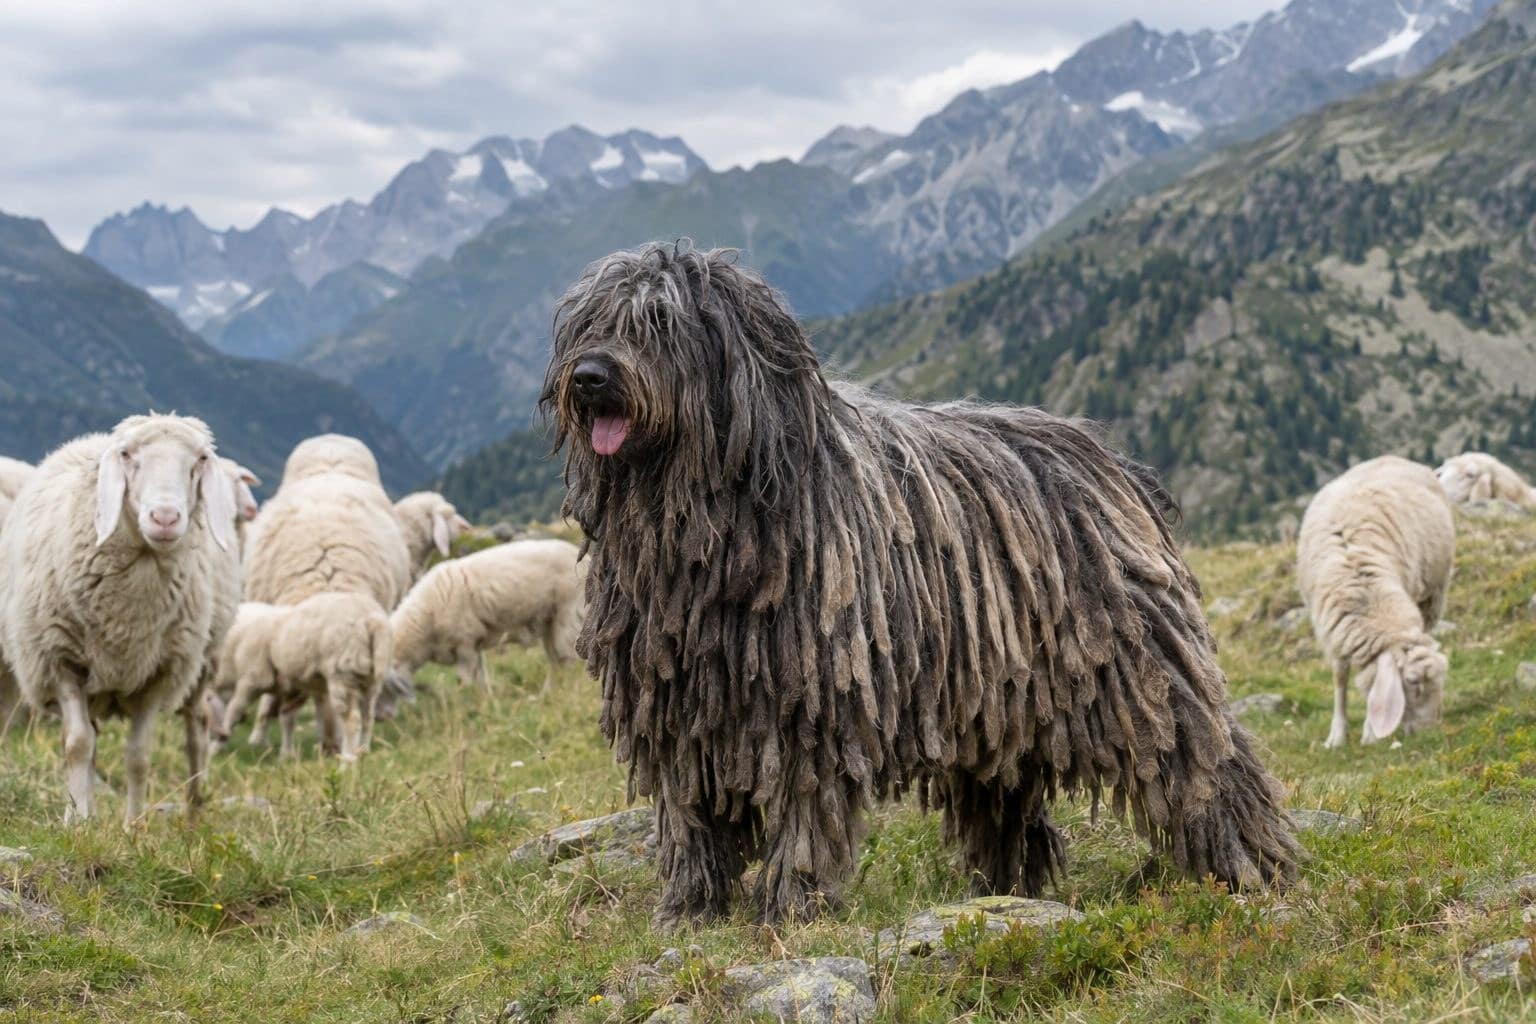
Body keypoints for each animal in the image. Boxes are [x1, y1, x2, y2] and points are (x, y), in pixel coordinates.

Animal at [0, 414, 234, 823]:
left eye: (201, 459)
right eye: (126, 455)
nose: (165, 518)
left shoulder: (159, 673)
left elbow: (139, 756)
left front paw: (133, 827)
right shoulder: (61, 660)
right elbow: (78, 744)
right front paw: (79, 823)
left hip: (196, 668)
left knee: (194, 729)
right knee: (84, 741)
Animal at [215, 593, 392, 762]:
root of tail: (373, 620)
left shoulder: (252, 678)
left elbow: (233, 712)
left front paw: (216, 747)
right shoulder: (292, 688)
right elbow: (287, 719)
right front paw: (286, 755)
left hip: (343, 672)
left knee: (352, 721)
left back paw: (347, 762)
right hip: (369, 680)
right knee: (368, 718)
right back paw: (363, 752)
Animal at [391, 539, 584, 695]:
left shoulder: (465, 643)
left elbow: (465, 678)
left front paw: (466, 699)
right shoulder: (475, 644)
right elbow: (480, 675)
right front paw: (485, 697)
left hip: (568, 615)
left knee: (568, 659)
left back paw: (569, 692)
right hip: (550, 623)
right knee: (555, 660)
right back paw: (546, 694)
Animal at [1297, 455, 1455, 748]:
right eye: (1413, 682)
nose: (1430, 733)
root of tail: (1393, 457)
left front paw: (1370, 732)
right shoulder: (1334, 632)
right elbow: (1340, 677)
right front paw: (1337, 735)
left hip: (1433, 594)